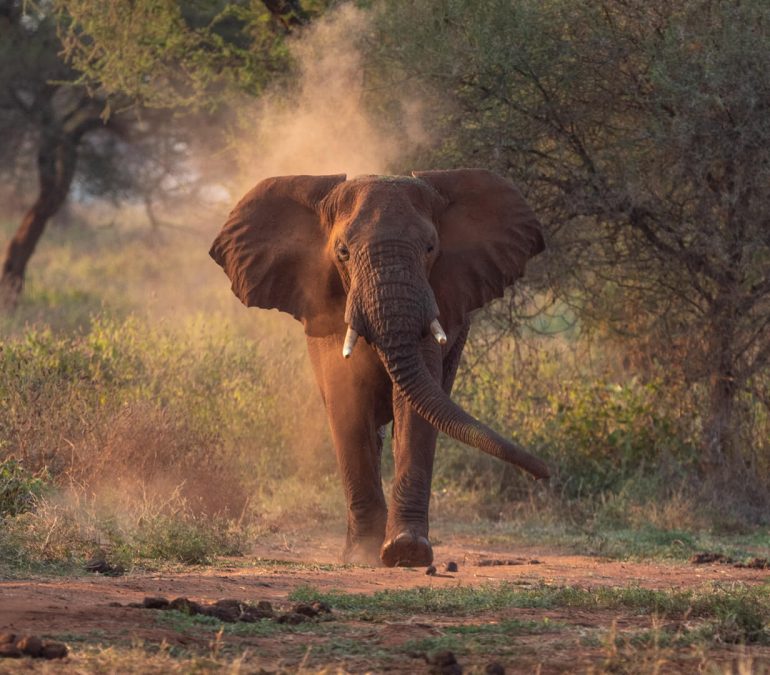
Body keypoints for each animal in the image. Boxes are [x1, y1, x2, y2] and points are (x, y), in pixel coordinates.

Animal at [209, 168, 548, 567]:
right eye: (343, 252)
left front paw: (407, 550)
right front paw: (363, 555)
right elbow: (348, 402)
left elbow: (415, 410)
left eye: (430, 248)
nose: (546, 473)